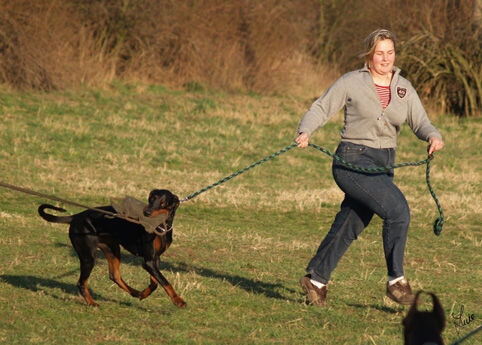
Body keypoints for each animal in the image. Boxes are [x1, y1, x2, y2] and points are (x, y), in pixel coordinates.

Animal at [36, 191, 185, 306]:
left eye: (163, 203)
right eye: (151, 198)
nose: (146, 212)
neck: (161, 226)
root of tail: (75, 217)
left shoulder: (154, 259)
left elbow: (156, 282)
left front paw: (143, 294)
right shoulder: (149, 261)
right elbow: (165, 282)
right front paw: (178, 300)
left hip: (112, 249)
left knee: (115, 276)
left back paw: (135, 292)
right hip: (89, 256)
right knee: (81, 283)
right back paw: (92, 302)